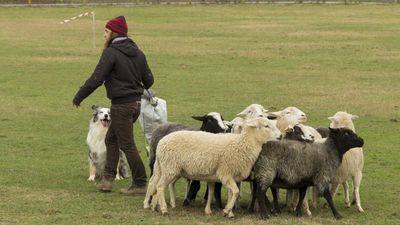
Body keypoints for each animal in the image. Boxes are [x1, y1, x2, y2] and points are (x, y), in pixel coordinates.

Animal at [144, 117, 282, 217]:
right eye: (266, 126)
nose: (280, 136)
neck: (243, 144)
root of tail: (161, 142)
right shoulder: (225, 173)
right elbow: (236, 192)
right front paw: (226, 211)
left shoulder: (232, 176)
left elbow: (231, 193)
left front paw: (229, 212)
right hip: (170, 168)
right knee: (160, 186)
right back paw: (163, 209)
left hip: (164, 167)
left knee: (154, 183)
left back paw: (153, 206)